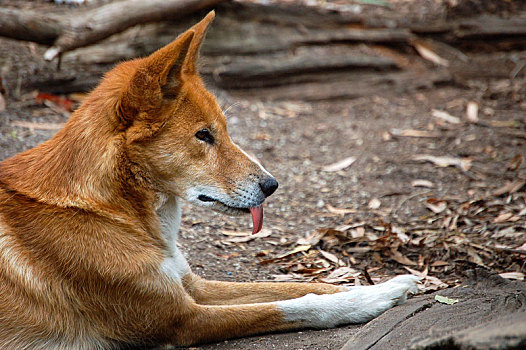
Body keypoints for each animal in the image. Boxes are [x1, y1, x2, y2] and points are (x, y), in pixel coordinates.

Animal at [0, 11, 420, 350]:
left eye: (225, 130)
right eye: (204, 135)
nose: (272, 186)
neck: (107, 207)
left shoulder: (192, 285)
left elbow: (300, 286)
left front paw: (379, 286)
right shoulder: (181, 319)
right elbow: (294, 305)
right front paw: (371, 300)